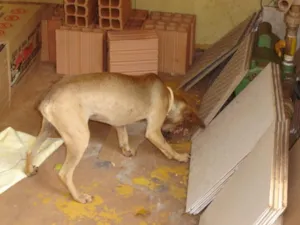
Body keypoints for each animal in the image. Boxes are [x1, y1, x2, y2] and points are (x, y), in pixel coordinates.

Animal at [25, 72, 204, 204]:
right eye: (181, 125)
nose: (169, 134)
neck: (169, 97)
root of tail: (47, 98)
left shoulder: (119, 123)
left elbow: (123, 137)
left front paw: (126, 150)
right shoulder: (153, 131)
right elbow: (167, 147)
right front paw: (179, 156)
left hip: (47, 129)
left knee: (30, 151)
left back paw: (29, 170)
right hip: (79, 139)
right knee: (65, 174)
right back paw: (79, 197)